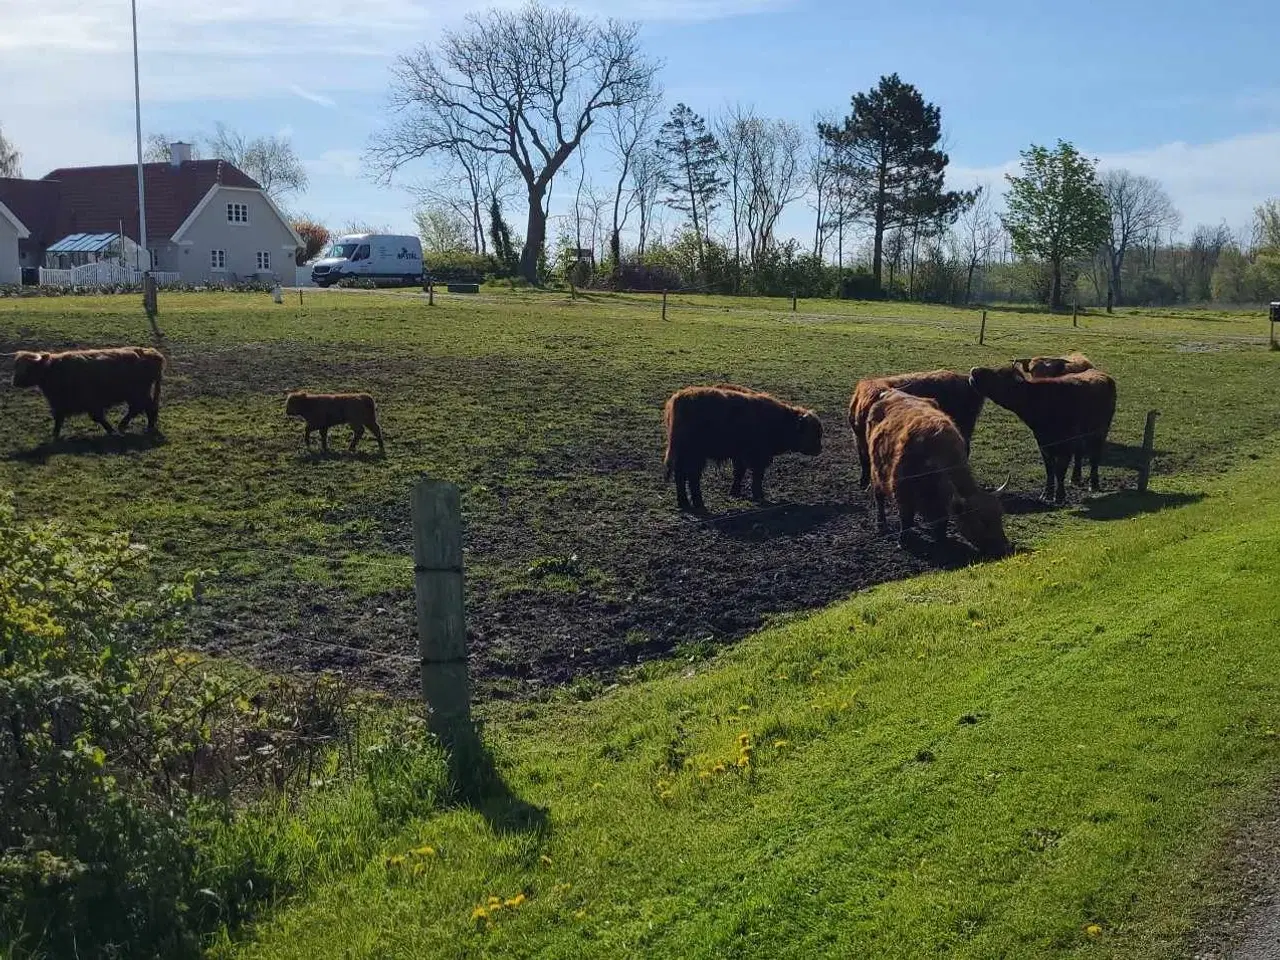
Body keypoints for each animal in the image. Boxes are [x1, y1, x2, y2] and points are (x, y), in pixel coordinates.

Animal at [11, 345, 163, 440]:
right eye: (16, 366)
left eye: (28, 367)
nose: (15, 381)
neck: (53, 370)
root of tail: (153, 353)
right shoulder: (59, 403)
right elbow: (59, 419)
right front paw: (55, 435)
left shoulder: (90, 401)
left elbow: (98, 417)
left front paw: (111, 431)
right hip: (138, 393)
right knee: (143, 408)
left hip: (138, 393)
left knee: (144, 408)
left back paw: (132, 426)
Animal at [665, 386, 824, 514]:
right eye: (813, 433)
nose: (819, 449)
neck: (780, 420)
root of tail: (681, 397)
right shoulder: (757, 456)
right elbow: (757, 476)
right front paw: (759, 495)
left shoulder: (739, 455)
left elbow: (739, 473)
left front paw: (734, 492)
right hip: (695, 455)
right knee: (692, 477)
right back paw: (698, 503)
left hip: (684, 455)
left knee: (680, 476)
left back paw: (684, 503)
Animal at [865, 391, 1013, 555]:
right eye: (982, 521)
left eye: (1000, 516)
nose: (1005, 548)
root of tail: (891, 393)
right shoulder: (902, 492)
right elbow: (906, 519)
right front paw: (903, 542)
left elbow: (942, 519)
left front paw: (941, 540)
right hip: (875, 470)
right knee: (878, 496)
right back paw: (881, 524)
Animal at [967, 363, 1111, 506]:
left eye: (1000, 374)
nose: (974, 370)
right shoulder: (1043, 444)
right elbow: (1050, 470)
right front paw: (1046, 495)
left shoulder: (1065, 446)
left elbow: (1060, 471)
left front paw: (1059, 496)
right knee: (1080, 454)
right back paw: (1075, 479)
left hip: (1100, 433)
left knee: (1094, 457)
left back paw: (1093, 484)